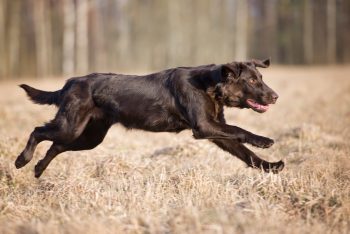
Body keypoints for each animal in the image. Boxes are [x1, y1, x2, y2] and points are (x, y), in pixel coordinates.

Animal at [15, 58, 284, 177]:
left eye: (261, 78)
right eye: (252, 81)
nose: (276, 96)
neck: (209, 85)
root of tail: (69, 82)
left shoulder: (216, 131)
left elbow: (246, 153)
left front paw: (270, 167)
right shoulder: (205, 127)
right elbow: (241, 131)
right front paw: (263, 140)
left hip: (89, 136)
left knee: (56, 146)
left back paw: (38, 169)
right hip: (70, 126)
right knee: (38, 131)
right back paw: (22, 160)